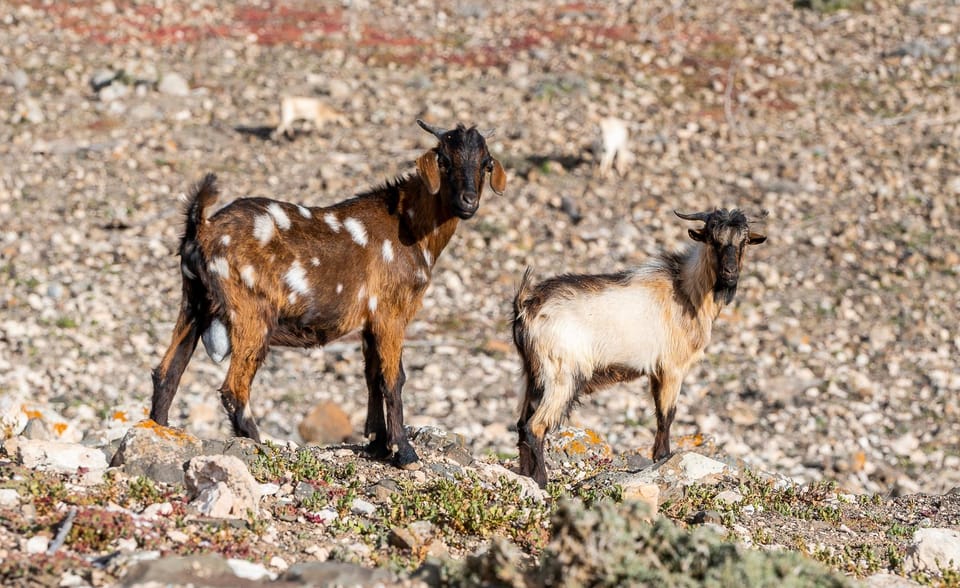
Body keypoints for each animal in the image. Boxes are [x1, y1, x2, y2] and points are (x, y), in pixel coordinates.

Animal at [150, 119, 506, 468]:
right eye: (444, 160)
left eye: (486, 164)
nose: (468, 202)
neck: (408, 226)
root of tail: (203, 228)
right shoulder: (391, 313)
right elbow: (394, 378)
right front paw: (404, 453)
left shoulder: (369, 322)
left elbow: (372, 375)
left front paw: (378, 444)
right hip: (251, 315)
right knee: (233, 388)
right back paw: (257, 443)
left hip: (194, 301)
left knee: (168, 372)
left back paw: (161, 431)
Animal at [512, 209, 768, 484]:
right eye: (713, 240)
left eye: (743, 242)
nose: (730, 272)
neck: (686, 291)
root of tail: (527, 306)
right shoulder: (672, 368)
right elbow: (667, 414)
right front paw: (663, 457)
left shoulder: (656, 372)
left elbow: (659, 412)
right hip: (561, 375)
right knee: (535, 426)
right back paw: (541, 480)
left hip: (531, 374)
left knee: (521, 424)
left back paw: (526, 475)